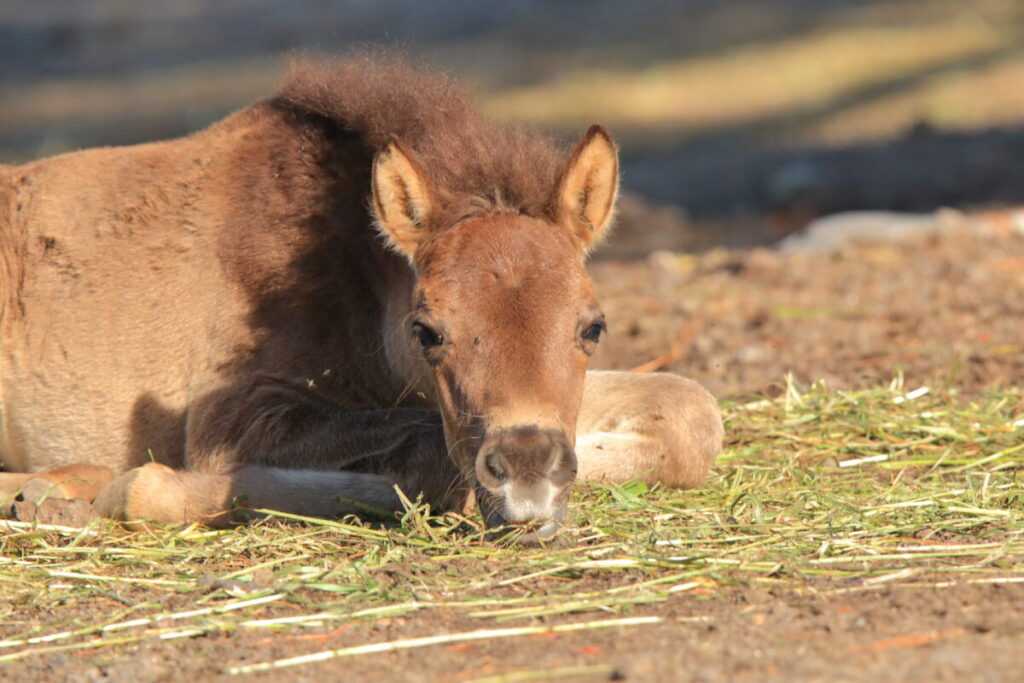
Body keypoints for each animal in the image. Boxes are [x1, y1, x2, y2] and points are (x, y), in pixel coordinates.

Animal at [0, 56, 722, 540]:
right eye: (427, 331)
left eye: (592, 326)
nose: (528, 476)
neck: (342, 270)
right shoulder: (229, 417)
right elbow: (432, 460)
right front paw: (132, 487)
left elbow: (694, 413)